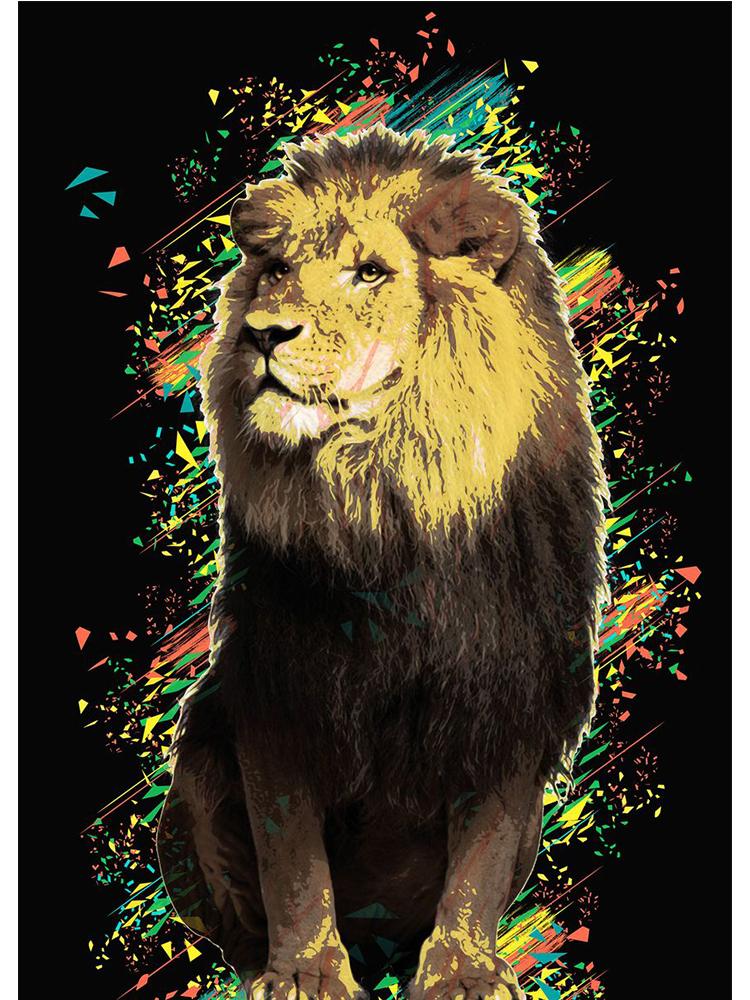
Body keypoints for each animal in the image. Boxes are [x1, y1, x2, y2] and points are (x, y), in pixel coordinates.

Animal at [156, 125, 609, 1000]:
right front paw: (304, 974)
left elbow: (481, 855)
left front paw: (463, 971)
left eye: (369, 272)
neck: (388, 507)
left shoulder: (511, 690)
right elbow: (292, 861)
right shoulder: (282, 687)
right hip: (193, 775)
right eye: (276, 270)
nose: (262, 332)